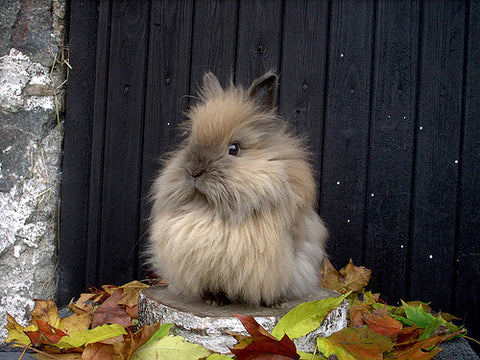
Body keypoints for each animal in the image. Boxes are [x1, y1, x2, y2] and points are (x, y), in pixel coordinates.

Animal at [149, 71, 330, 306]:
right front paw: (214, 299)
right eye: (190, 143)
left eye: (233, 149)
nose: (193, 170)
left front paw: (274, 302)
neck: (212, 209)